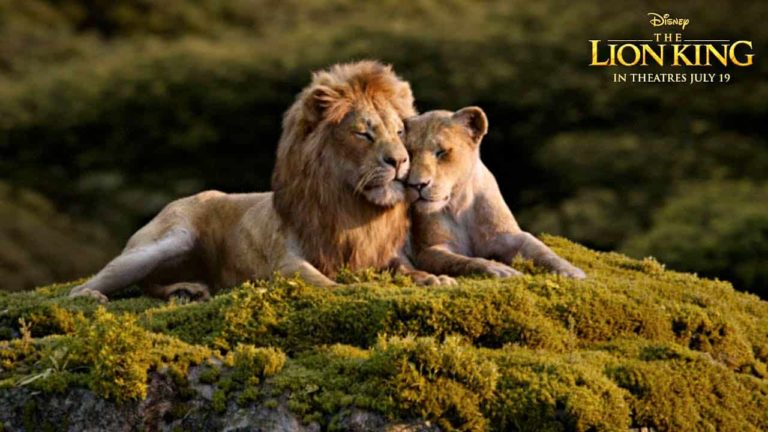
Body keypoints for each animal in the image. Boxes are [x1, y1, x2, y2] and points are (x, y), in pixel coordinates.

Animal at [70, 60, 452, 302]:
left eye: (399, 132)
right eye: (363, 133)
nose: (400, 161)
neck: (350, 204)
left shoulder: (382, 254)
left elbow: (406, 269)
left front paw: (433, 278)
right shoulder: (284, 261)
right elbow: (318, 280)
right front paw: (348, 289)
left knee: (151, 283)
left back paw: (187, 290)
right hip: (167, 240)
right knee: (102, 282)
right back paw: (90, 295)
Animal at [404, 106, 586, 279]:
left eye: (441, 152)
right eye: (410, 154)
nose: (417, 184)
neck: (459, 204)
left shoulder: (507, 236)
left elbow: (540, 249)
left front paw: (571, 271)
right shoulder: (428, 250)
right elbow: (462, 261)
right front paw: (500, 270)